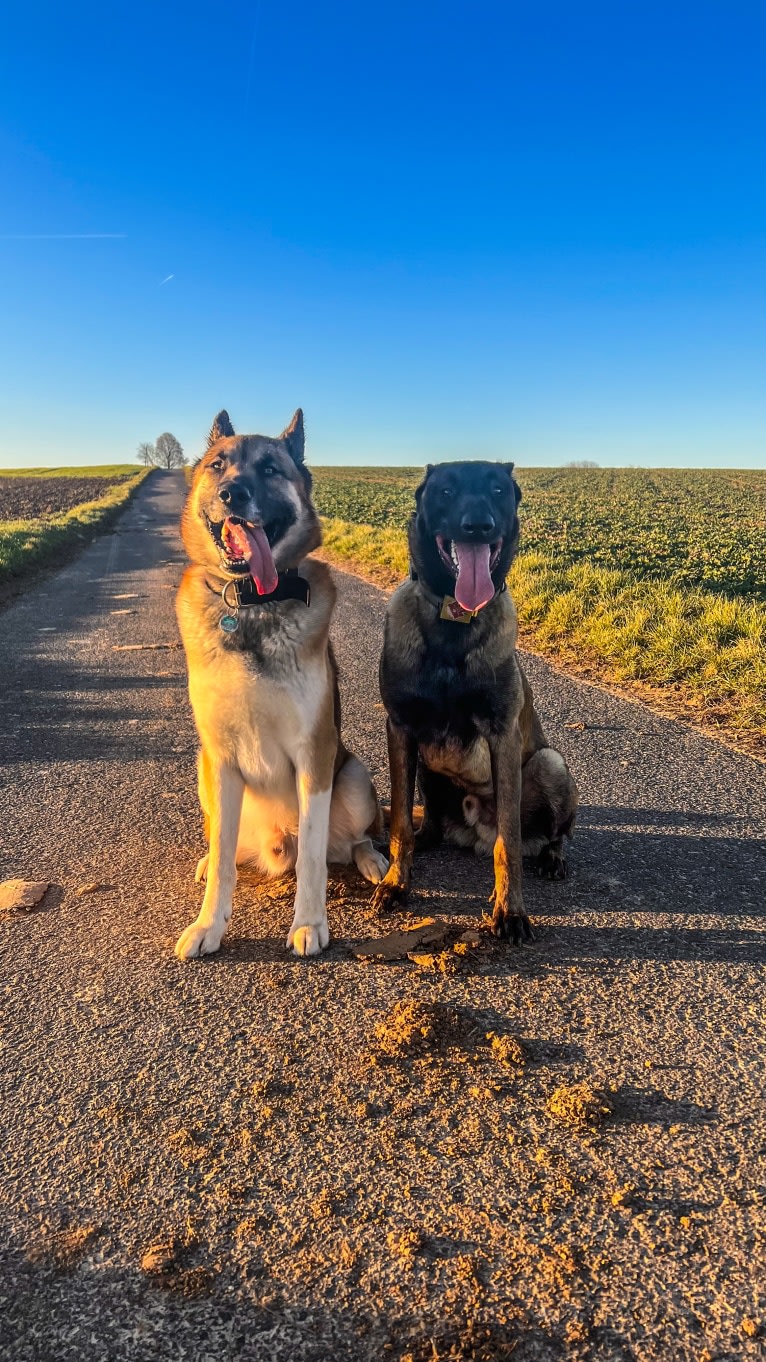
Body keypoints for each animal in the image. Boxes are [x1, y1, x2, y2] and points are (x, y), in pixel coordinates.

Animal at [175, 405, 384, 958]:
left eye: (270, 469)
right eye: (218, 466)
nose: (232, 494)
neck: (251, 603)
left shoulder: (315, 753)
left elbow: (312, 856)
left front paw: (309, 923)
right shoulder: (221, 758)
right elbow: (222, 861)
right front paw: (209, 924)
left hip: (352, 776)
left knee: (346, 842)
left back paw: (374, 858)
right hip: (203, 773)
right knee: (224, 845)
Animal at [368, 463, 572, 942]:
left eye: (498, 490)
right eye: (445, 491)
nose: (478, 526)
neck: (453, 620)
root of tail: (473, 832)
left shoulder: (503, 735)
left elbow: (508, 843)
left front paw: (510, 910)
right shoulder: (400, 728)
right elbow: (400, 820)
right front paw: (396, 883)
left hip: (550, 762)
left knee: (550, 836)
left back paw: (552, 857)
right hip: (427, 765)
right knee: (427, 823)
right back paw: (427, 836)